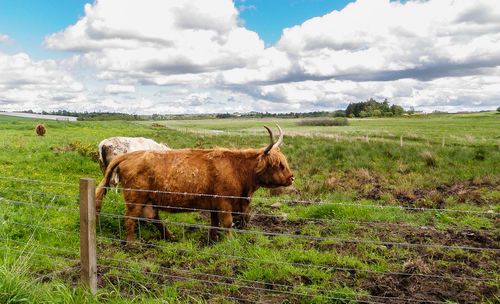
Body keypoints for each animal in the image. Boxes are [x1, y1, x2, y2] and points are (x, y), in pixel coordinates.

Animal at [94, 124, 292, 242]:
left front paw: (212, 240)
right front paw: (230, 242)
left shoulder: (214, 203)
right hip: (135, 198)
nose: (292, 178)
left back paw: (171, 237)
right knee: (130, 218)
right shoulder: (224, 202)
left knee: (152, 217)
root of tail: (129, 155)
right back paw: (133, 244)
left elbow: (214, 223)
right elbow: (227, 223)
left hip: (148, 199)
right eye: (277, 164)